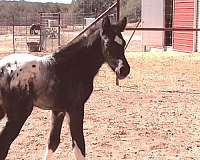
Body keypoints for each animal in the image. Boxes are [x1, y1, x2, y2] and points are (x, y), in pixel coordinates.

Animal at [0, 15, 130, 159]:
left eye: (123, 43)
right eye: (107, 43)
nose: (124, 70)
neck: (71, 67)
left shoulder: (58, 110)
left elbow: (53, 143)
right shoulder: (75, 108)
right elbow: (79, 146)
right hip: (18, 114)